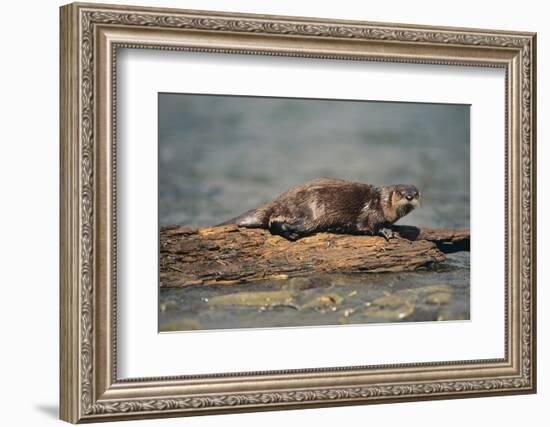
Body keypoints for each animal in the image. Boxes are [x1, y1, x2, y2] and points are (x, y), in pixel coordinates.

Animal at [217, 178, 422, 242]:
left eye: (416, 192)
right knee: (274, 224)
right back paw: (292, 234)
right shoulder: (370, 213)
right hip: (308, 214)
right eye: (401, 193)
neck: (381, 203)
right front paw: (386, 230)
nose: (410, 197)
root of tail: (276, 202)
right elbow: (368, 226)